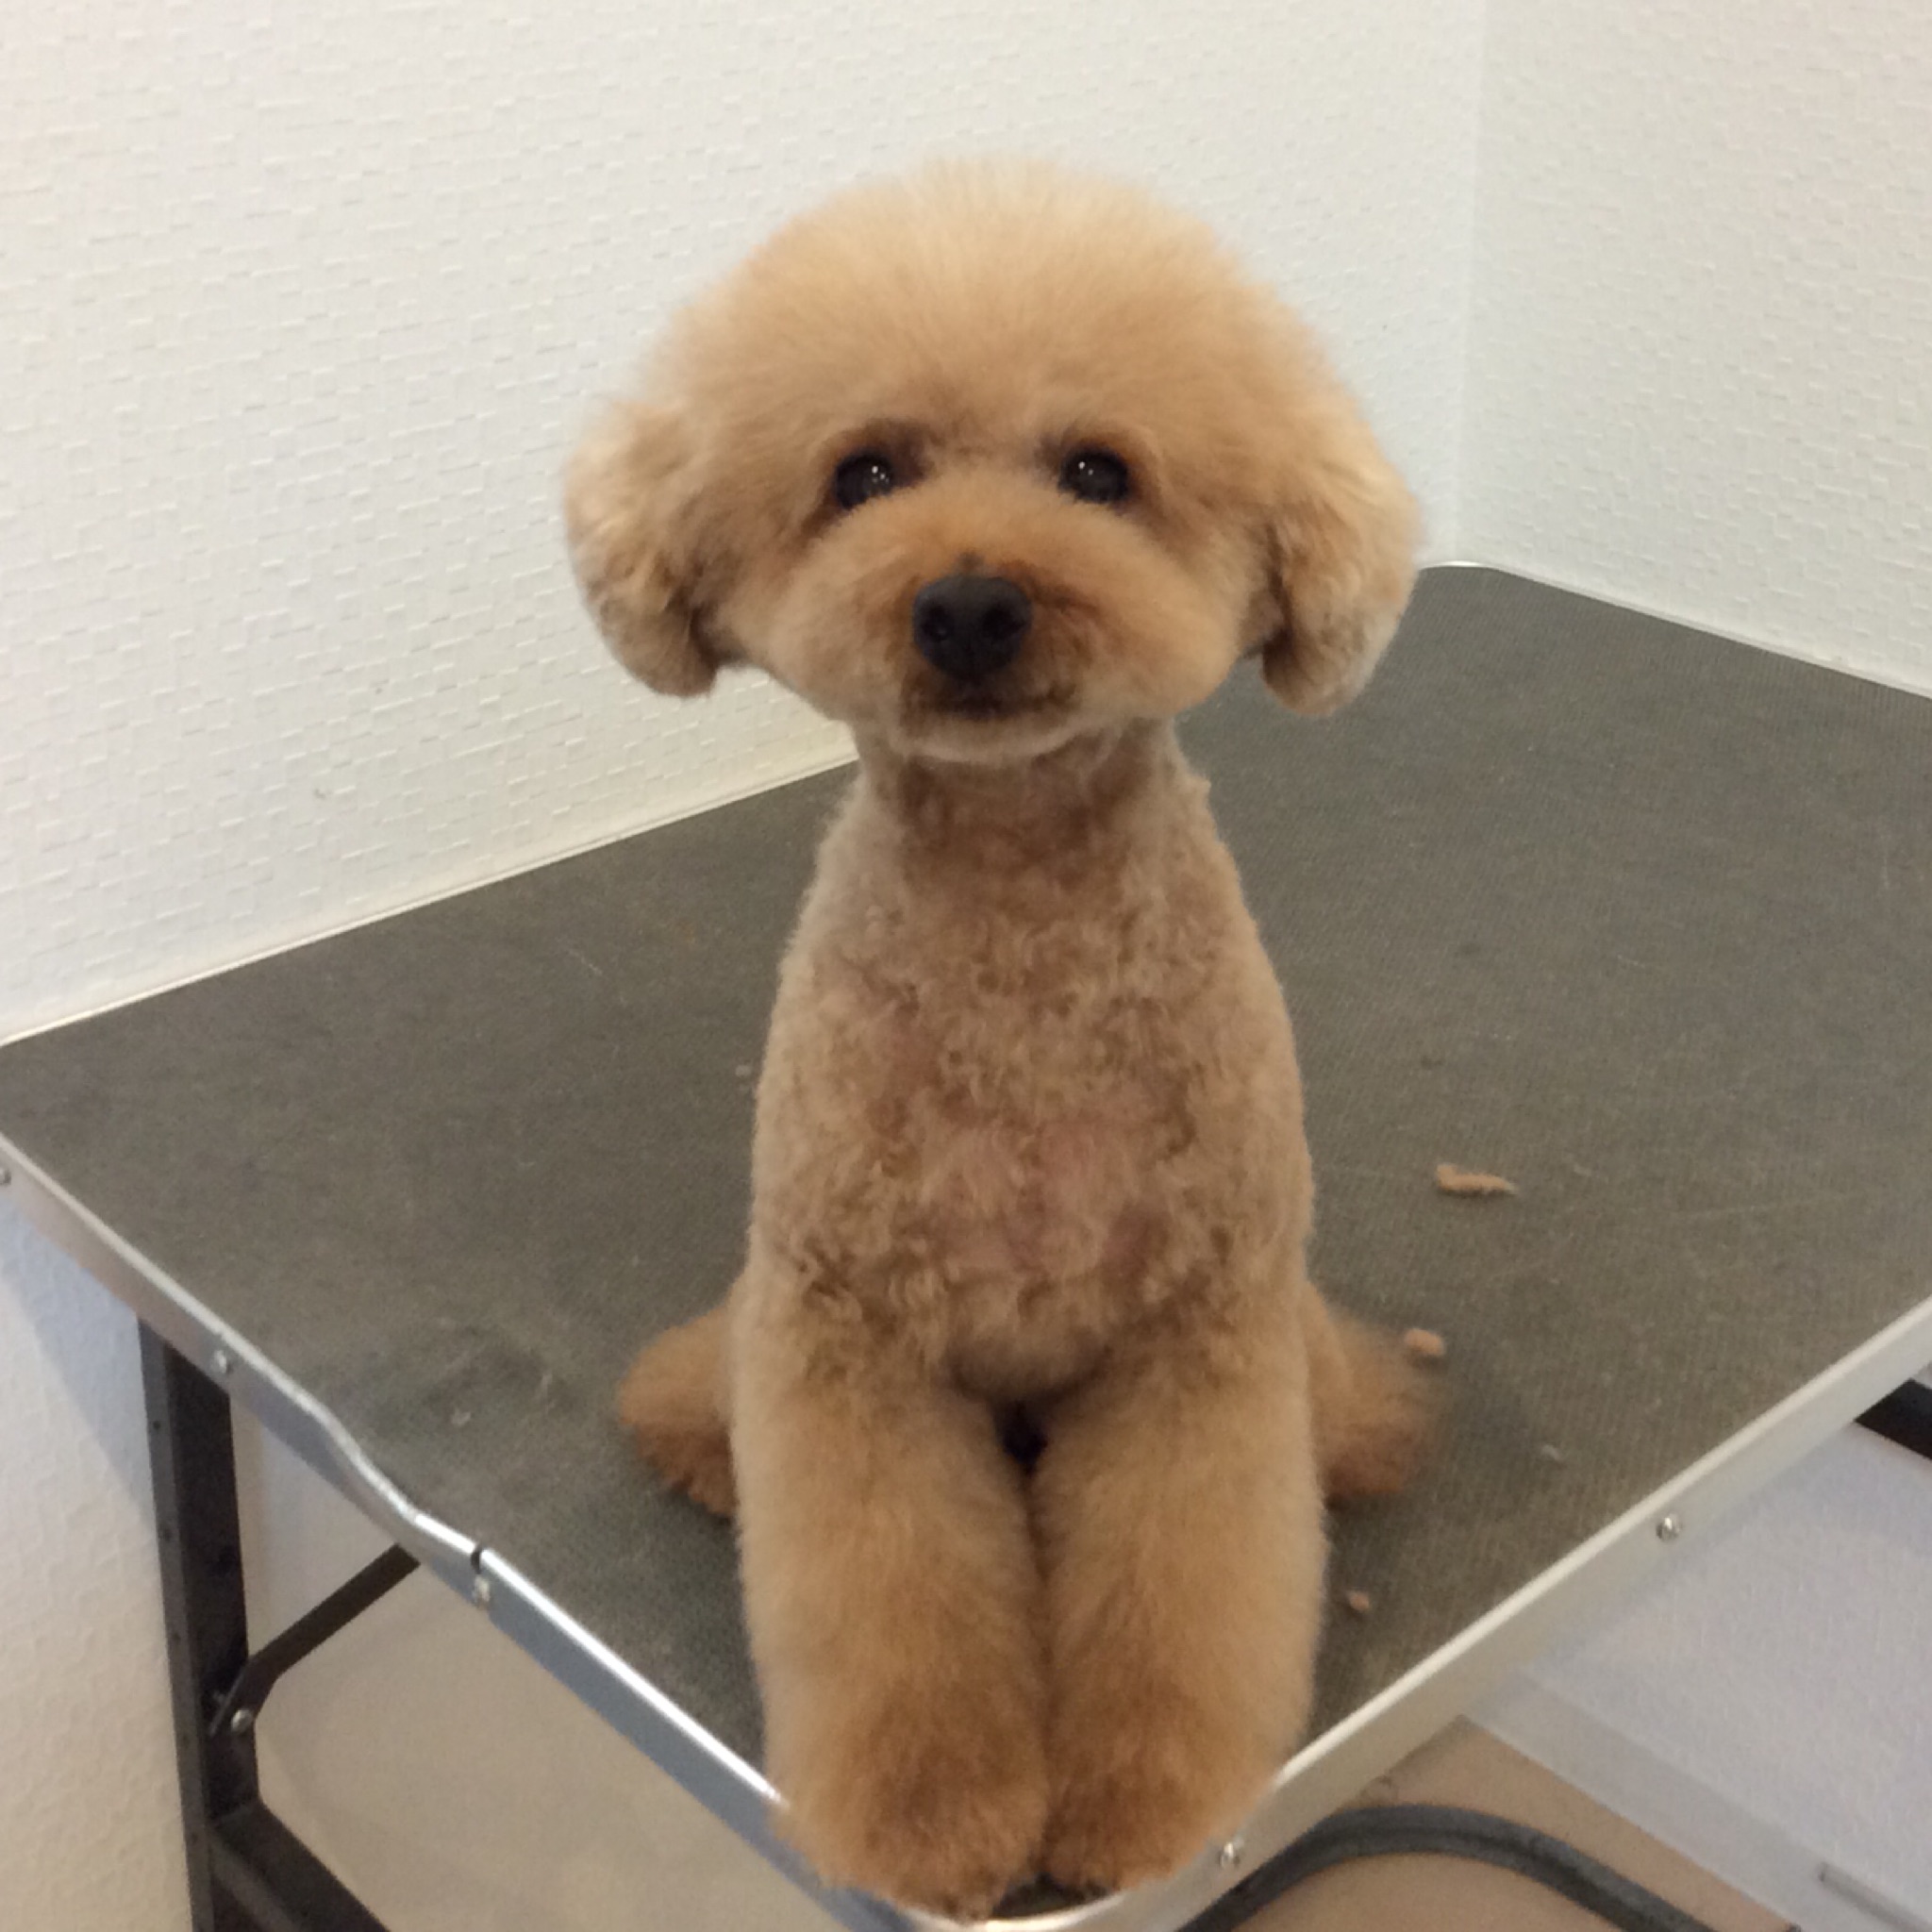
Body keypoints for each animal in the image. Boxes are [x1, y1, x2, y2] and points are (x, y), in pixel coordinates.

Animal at [565, 162, 1430, 1916]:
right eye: (864, 472)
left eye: (1098, 470)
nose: (968, 597)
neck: (1018, 917)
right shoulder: (849, 1346)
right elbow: (894, 1622)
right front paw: (931, 1823)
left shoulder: (1193, 1346)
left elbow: (1181, 1599)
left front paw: (1140, 1808)